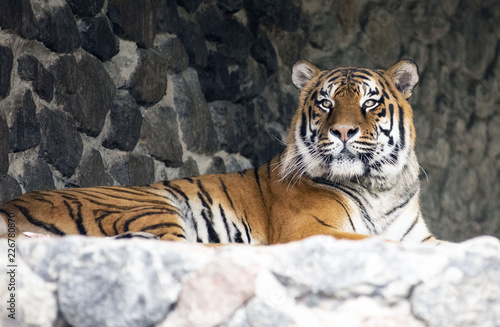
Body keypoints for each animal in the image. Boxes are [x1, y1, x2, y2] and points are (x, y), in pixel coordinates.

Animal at [0, 59, 438, 245]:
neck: (379, 188)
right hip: (146, 207)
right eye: (326, 103)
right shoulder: (309, 230)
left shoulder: (418, 235)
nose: (343, 131)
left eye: (369, 103)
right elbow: (380, 245)